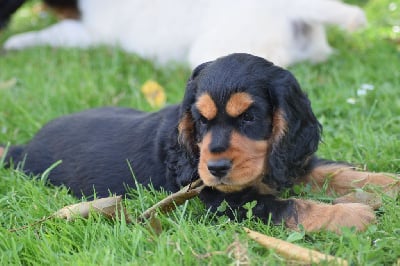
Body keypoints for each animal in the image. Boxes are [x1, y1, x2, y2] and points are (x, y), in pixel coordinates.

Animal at [1, 52, 398, 233]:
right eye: (201, 120)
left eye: (249, 118)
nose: (216, 168)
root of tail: (22, 146)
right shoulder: (221, 202)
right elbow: (287, 205)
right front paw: (352, 213)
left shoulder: (286, 160)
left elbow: (334, 171)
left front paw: (388, 183)